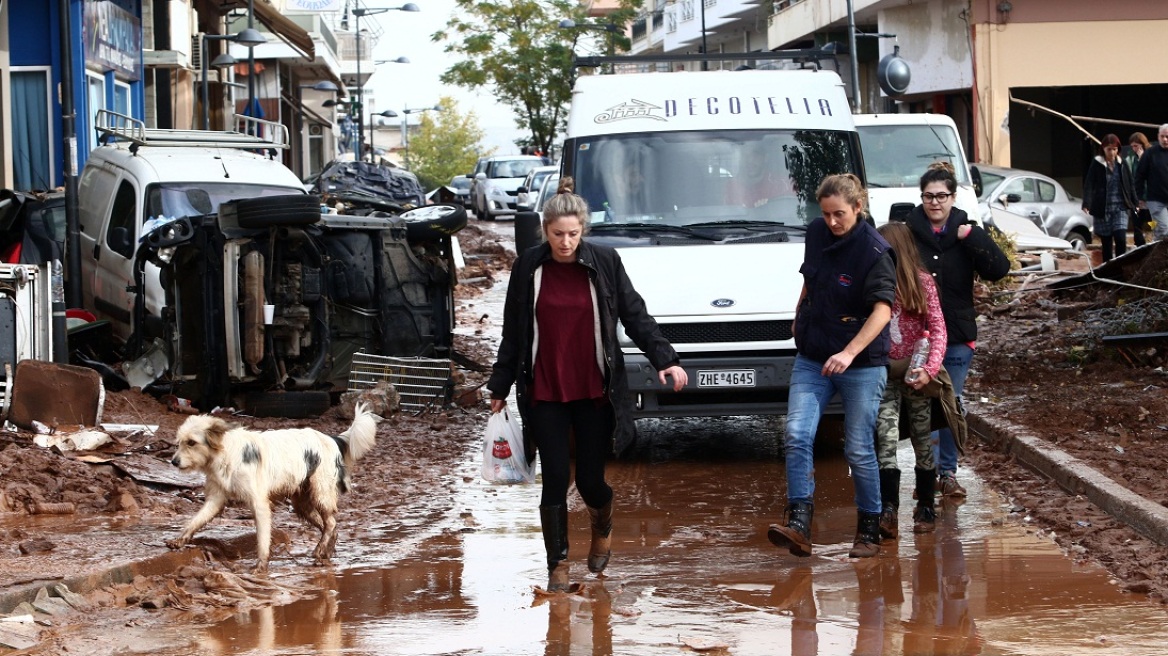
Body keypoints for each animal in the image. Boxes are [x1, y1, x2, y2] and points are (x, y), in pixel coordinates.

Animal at [170, 401, 378, 569]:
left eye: (191, 442)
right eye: (179, 442)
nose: (173, 461)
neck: (224, 455)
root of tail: (331, 438)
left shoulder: (259, 504)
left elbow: (262, 539)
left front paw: (260, 566)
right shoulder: (215, 499)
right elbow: (194, 520)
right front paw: (179, 540)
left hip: (321, 494)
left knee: (331, 523)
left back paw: (319, 551)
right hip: (302, 503)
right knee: (330, 526)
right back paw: (326, 552)